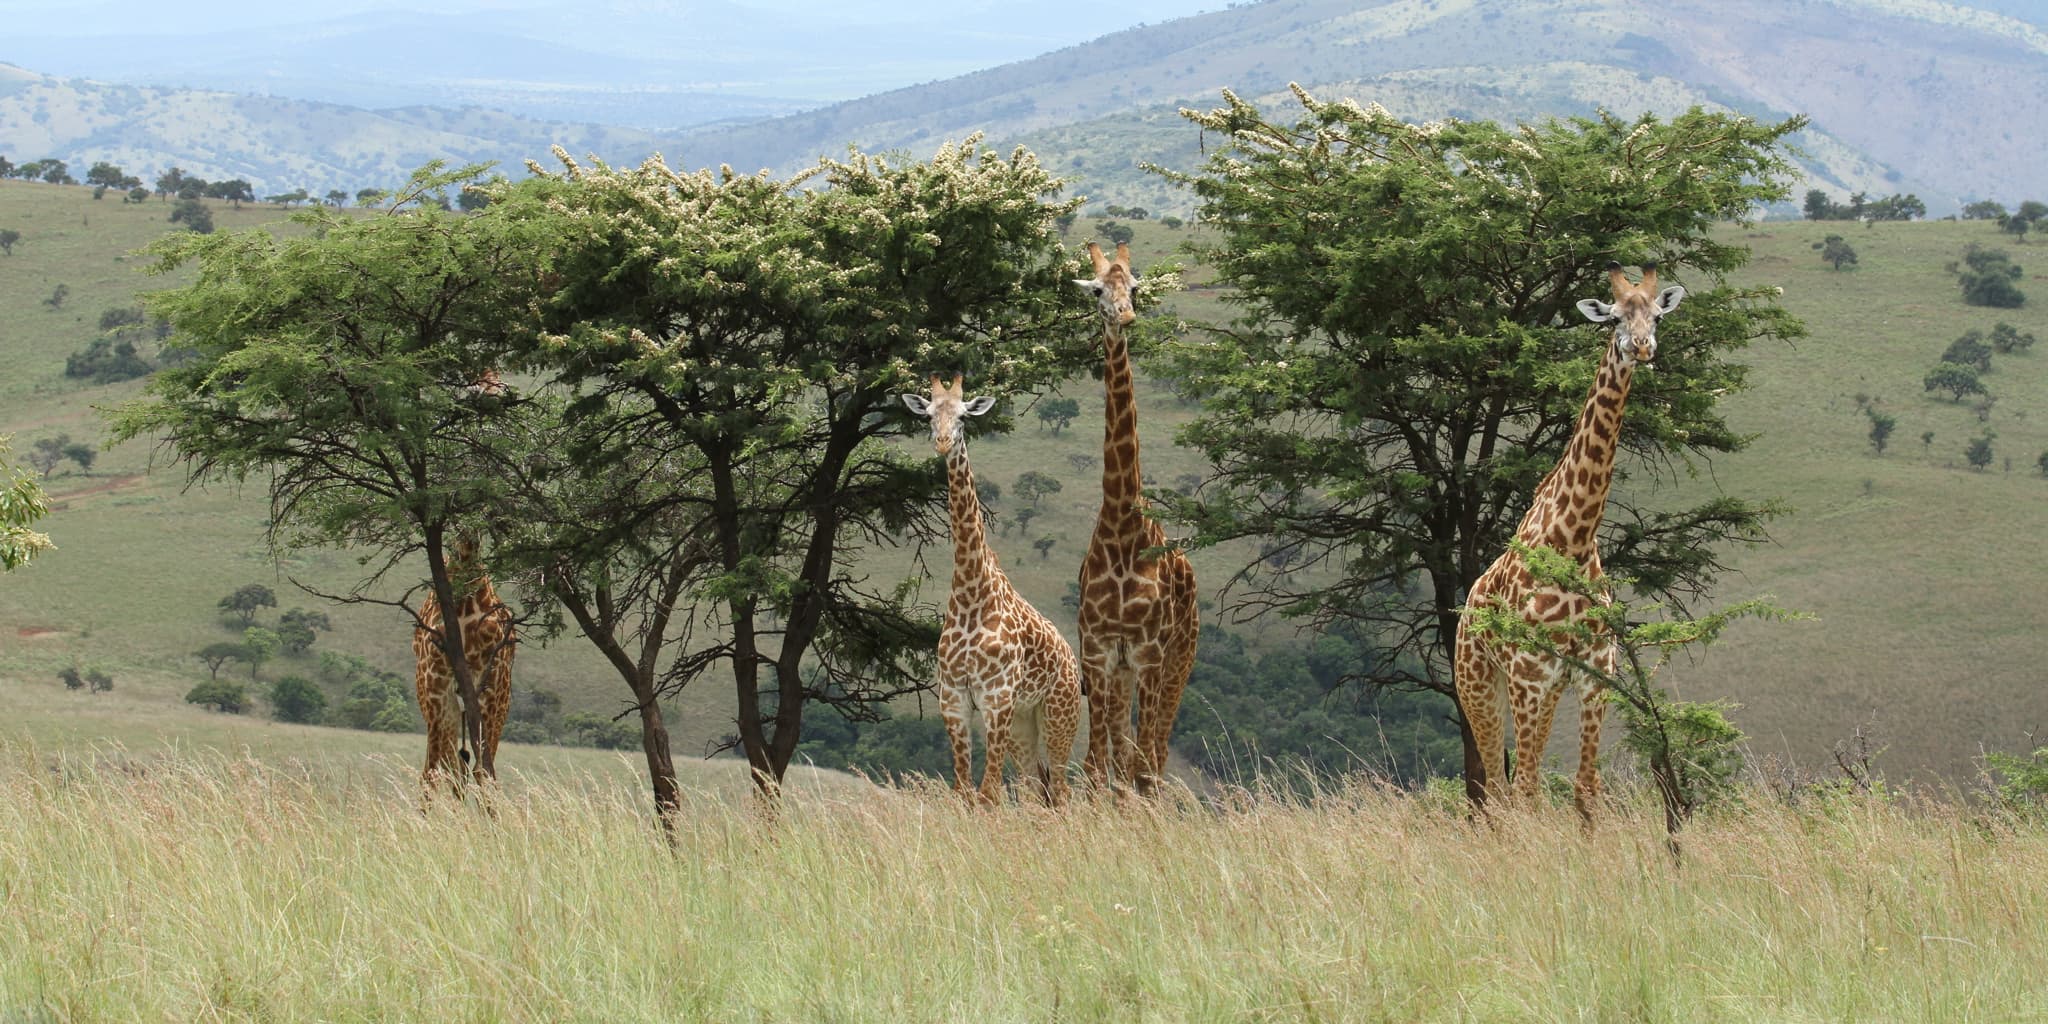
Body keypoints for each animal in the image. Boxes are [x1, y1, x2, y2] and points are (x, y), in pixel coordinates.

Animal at [413, 532, 516, 797]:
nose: (469, 538)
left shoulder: (489, 686)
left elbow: (483, 770)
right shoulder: (436, 685)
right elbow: (432, 771)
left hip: (498, 704)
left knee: (468, 768)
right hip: (442, 708)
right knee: (448, 768)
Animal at [902, 374, 1083, 806]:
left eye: (964, 416)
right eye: (929, 415)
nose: (943, 443)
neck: (972, 593)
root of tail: (1072, 661)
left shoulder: (996, 699)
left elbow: (988, 796)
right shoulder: (954, 700)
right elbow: (965, 792)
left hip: (1058, 715)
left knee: (1062, 791)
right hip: (1023, 723)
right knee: (1036, 790)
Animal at [1454, 261, 1685, 818]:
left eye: (1657, 316)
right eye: (1616, 316)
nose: (1642, 347)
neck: (1575, 540)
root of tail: (1464, 613)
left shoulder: (1592, 672)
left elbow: (1585, 788)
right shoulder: (1529, 673)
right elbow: (1527, 789)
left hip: (1538, 691)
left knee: (1514, 782)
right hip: (1479, 685)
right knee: (1500, 787)